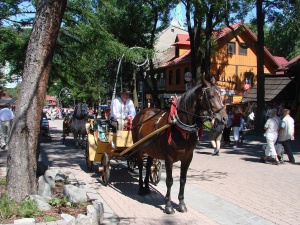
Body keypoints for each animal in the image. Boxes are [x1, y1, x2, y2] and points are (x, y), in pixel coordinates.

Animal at [131, 79, 227, 214]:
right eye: (211, 96)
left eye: (220, 95)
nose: (224, 118)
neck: (181, 128)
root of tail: (142, 111)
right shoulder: (169, 158)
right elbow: (169, 181)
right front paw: (168, 205)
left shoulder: (188, 157)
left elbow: (183, 180)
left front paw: (181, 204)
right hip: (139, 149)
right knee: (140, 166)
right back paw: (140, 188)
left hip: (150, 149)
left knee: (149, 165)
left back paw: (146, 187)